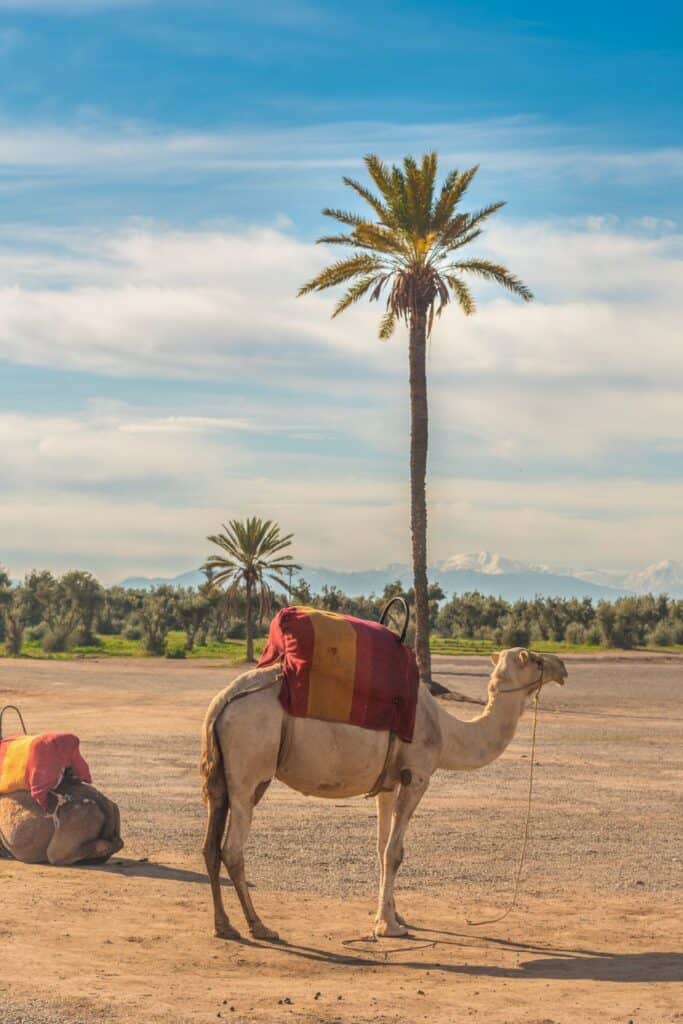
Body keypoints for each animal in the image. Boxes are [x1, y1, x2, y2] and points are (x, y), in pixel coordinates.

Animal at [200, 643, 569, 937]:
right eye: (535, 658)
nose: (562, 666)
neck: (447, 732)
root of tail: (222, 702)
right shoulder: (417, 776)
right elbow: (395, 852)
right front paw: (389, 927)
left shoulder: (387, 785)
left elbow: (381, 848)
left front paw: (393, 913)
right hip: (250, 769)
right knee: (232, 849)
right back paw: (258, 925)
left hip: (222, 777)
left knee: (210, 845)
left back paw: (224, 925)